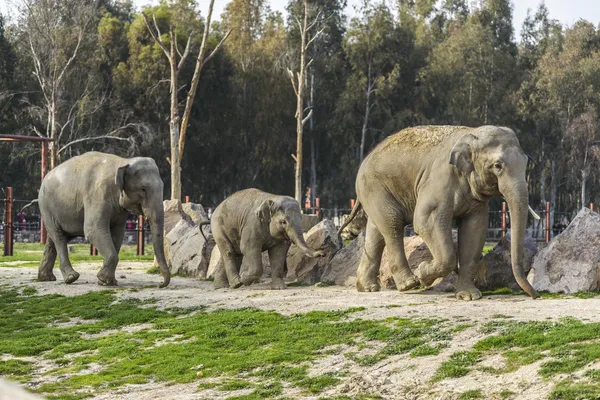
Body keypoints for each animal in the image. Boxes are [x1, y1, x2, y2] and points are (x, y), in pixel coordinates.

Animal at [37, 152, 170, 288]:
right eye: (143, 189)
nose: (160, 284)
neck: (123, 162)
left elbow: (117, 234)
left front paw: (108, 281)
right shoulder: (97, 195)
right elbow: (92, 230)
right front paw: (105, 280)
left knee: (53, 239)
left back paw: (46, 278)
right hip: (46, 206)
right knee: (59, 237)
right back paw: (71, 278)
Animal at [340, 125, 540, 300]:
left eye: (526, 163)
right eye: (497, 166)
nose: (536, 295)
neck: (471, 133)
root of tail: (366, 158)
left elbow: (475, 228)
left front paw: (469, 296)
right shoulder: (439, 179)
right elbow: (425, 221)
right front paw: (422, 273)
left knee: (376, 231)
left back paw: (367, 288)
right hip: (375, 187)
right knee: (392, 225)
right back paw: (409, 283)